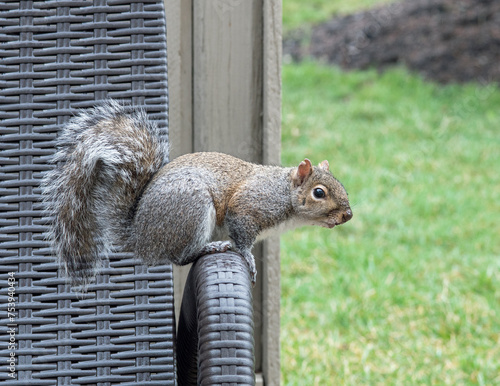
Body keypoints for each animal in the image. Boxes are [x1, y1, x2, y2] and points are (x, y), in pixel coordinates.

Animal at [44, 100, 352, 286]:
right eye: (319, 193)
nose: (348, 215)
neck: (283, 192)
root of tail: (139, 238)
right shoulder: (249, 206)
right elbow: (241, 235)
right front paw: (248, 259)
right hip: (192, 209)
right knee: (179, 257)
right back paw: (209, 247)